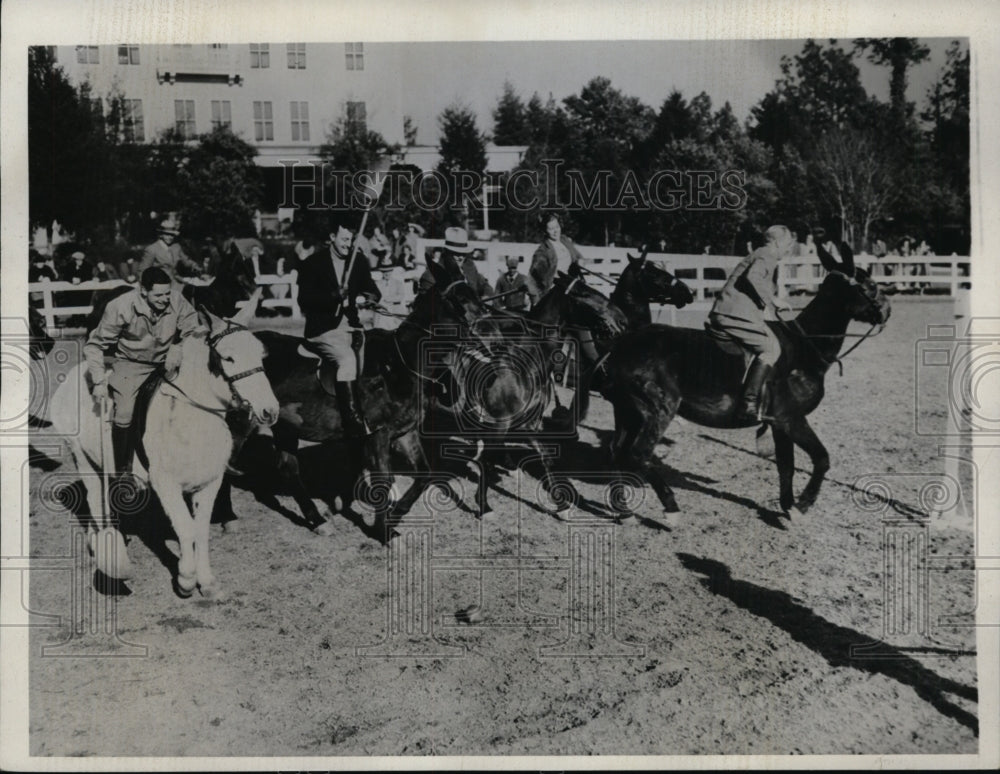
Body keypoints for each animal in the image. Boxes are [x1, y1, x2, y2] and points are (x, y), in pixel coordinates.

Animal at [49, 298, 278, 600]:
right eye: (228, 358)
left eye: (261, 355)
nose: (270, 411)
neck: (192, 416)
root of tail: (76, 374)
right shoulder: (166, 484)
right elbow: (186, 529)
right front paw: (186, 580)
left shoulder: (210, 484)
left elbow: (200, 531)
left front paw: (208, 583)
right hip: (82, 457)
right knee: (95, 500)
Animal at [217, 260, 490, 540]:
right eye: (460, 299)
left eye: (476, 294)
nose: (489, 328)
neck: (400, 363)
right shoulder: (378, 435)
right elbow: (383, 480)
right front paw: (382, 529)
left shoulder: (405, 432)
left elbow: (424, 475)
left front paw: (394, 515)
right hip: (240, 422)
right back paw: (229, 517)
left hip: (283, 423)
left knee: (288, 468)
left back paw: (317, 520)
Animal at [600, 241, 892, 520]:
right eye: (870, 284)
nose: (887, 311)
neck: (806, 347)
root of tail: (621, 345)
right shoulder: (792, 418)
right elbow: (821, 459)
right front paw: (803, 504)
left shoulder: (779, 423)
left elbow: (786, 467)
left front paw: (788, 507)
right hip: (658, 409)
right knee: (639, 455)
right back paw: (671, 508)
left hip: (628, 411)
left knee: (618, 452)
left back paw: (624, 510)